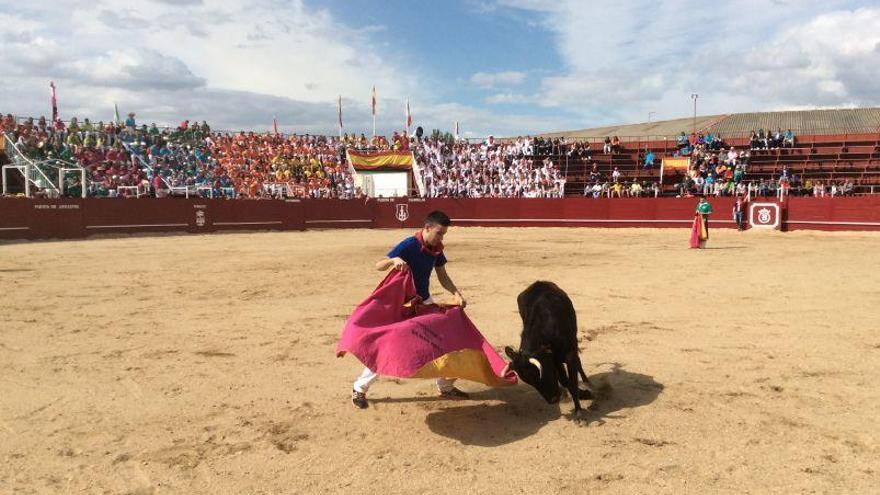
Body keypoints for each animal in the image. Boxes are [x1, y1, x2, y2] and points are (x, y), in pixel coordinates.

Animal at [506, 280, 596, 420]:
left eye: (538, 374)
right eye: (529, 382)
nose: (553, 400)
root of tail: (539, 283)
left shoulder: (569, 355)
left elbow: (573, 380)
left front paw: (579, 413)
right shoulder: (555, 360)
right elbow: (565, 380)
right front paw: (583, 395)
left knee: (578, 362)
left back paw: (586, 382)